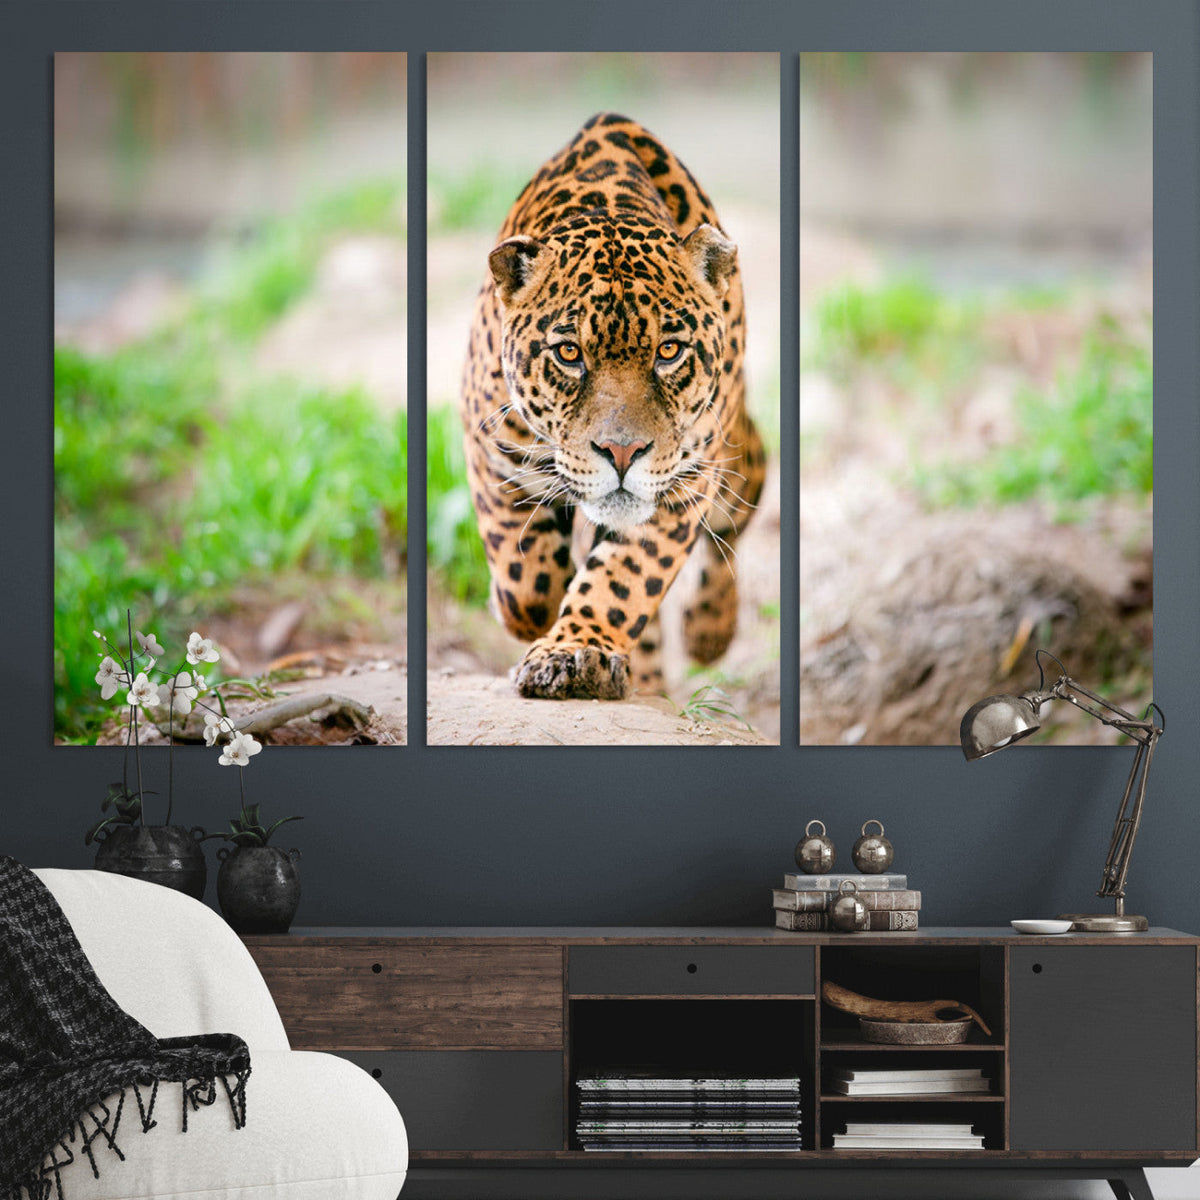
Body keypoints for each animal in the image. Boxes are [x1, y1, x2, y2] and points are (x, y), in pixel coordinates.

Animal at [459, 113, 766, 701]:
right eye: (569, 354)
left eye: (669, 352)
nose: (622, 453)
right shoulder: (490, 446)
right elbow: (524, 577)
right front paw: (532, 615)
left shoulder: (683, 482)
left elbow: (623, 579)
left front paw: (576, 652)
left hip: (734, 457)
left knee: (739, 509)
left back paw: (708, 631)